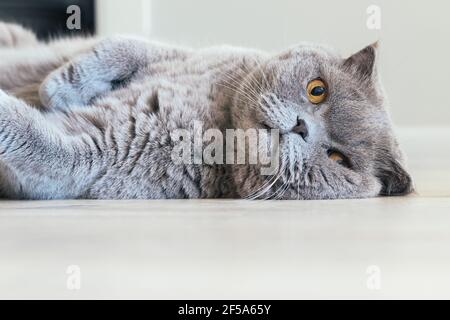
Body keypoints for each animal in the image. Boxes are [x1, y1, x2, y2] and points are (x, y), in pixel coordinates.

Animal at [0, 22, 412, 199]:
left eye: (339, 159)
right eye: (317, 90)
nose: (301, 126)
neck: (219, 118)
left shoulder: (101, 153)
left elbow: (38, 142)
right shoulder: (185, 54)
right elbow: (121, 45)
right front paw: (57, 86)